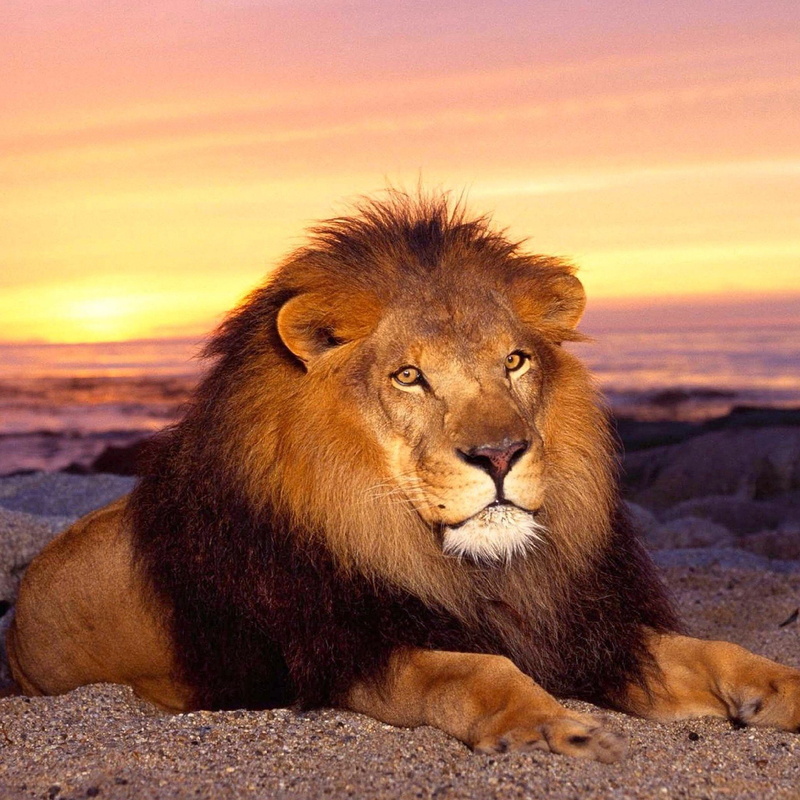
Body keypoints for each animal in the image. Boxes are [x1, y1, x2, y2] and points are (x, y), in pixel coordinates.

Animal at [6, 193, 800, 763]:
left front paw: (782, 688)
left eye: (515, 361)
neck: (466, 567)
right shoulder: (340, 652)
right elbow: (474, 672)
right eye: (409, 377)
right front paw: (556, 728)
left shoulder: (581, 630)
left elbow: (716, 651)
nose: (501, 454)